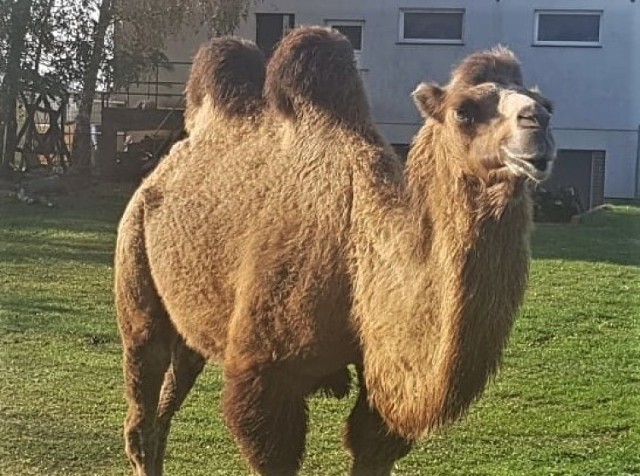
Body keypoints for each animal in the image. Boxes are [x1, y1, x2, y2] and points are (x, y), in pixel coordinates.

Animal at [115, 26, 556, 476]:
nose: (537, 123)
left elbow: (370, 444)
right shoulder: (265, 373)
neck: (359, 256)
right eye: (463, 111)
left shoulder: (380, 387)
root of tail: (156, 174)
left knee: (166, 407)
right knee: (142, 398)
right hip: (134, 260)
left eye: (547, 105)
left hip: (191, 322)